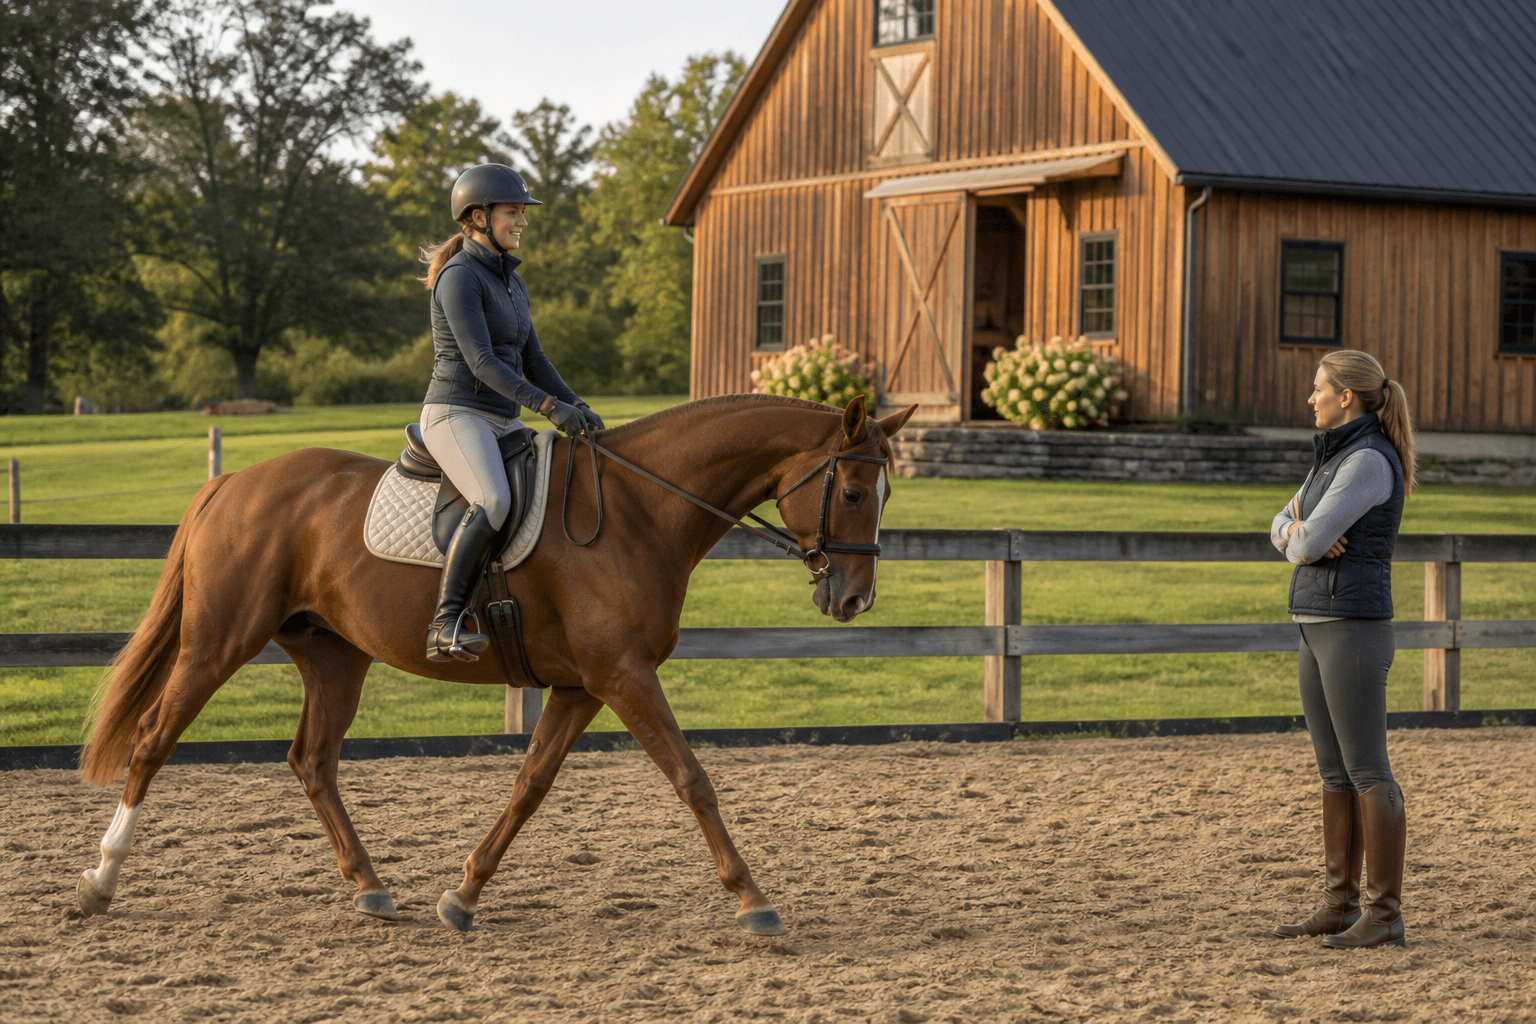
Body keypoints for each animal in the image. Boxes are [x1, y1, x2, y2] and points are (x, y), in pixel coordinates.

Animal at [76, 393, 916, 936]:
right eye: (850, 489)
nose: (855, 599)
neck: (640, 509)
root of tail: (232, 484)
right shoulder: (624, 677)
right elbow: (692, 780)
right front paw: (753, 900)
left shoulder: (583, 686)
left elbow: (529, 786)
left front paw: (465, 895)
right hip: (218, 643)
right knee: (153, 742)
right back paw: (100, 884)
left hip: (334, 658)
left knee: (312, 761)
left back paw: (372, 889)